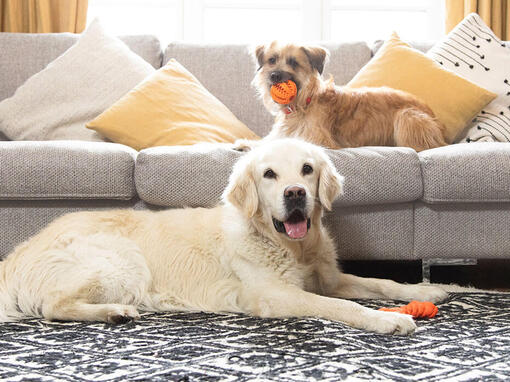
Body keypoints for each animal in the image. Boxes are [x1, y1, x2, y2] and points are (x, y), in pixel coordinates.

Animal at [0, 139, 446, 332]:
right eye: (269, 175)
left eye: (307, 169)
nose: (295, 194)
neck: (293, 247)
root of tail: (17, 254)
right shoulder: (275, 295)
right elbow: (339, 306)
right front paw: (386, 320)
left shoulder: (329, 277)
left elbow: (381, 281)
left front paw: (431, 289)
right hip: (121, 261)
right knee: (53, 306)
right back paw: (114, 311)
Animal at [251, 43, 446, 152]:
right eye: (271, 60)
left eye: (293, 62)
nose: (274, 76)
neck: (304, 101)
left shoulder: (318, 138)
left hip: (407, 116)